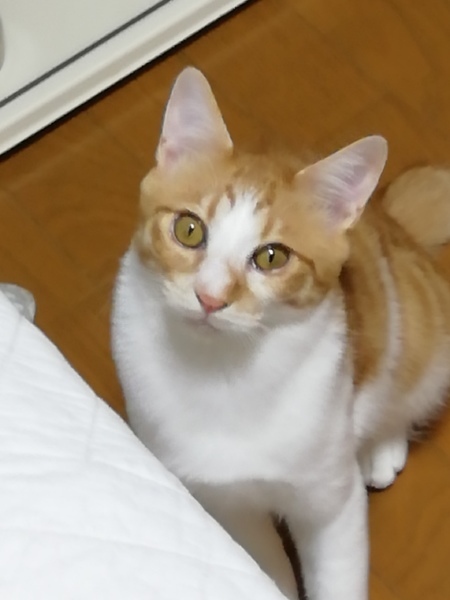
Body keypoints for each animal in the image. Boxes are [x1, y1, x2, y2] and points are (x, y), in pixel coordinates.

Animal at [111, 67, 450, 600]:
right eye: (189, 230)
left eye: (272, 257)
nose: (210, 297)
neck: (223, 372)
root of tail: (394, 223)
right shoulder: (225, 506)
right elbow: (259, 570)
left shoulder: (328, 500)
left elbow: (336, 576)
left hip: (417, 325)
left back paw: (382, 445)